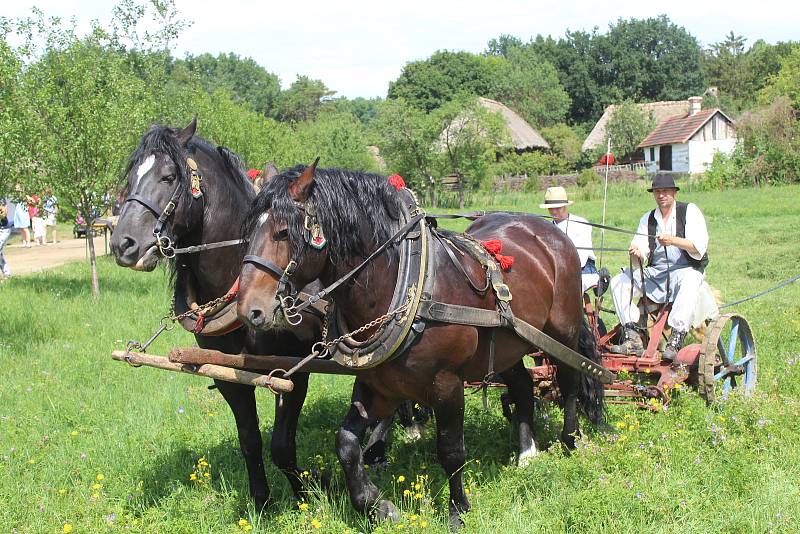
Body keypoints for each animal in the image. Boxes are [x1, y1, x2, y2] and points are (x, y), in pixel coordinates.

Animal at [238, 162, 608, 528]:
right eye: (248, 233)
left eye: (282, 232)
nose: (249, 310)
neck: (404, 286)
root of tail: (549, 230)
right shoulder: (377, 384)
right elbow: (346, 443)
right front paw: (376, 506)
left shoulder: (447, 383)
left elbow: (451, 449)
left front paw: (458, 510)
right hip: (508, 344)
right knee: (522, 383)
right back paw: (527, 451)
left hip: (562, 330)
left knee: (570, 380)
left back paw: (571, 440)